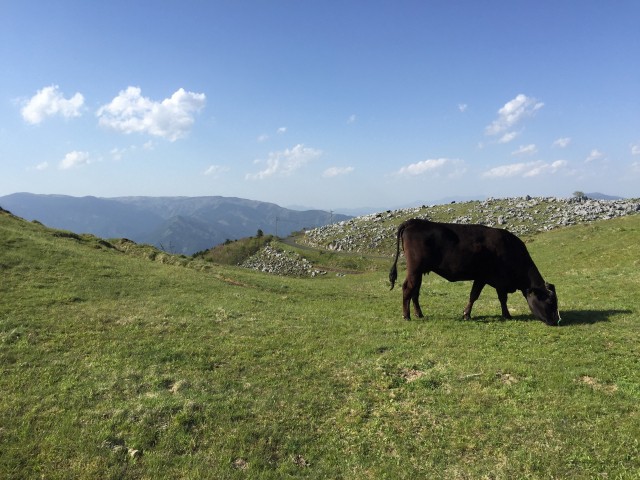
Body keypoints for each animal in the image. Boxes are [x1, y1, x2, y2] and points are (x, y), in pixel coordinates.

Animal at [384, 218, 560, 324]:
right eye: (550, 302)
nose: (556, 321)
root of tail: (414, 221)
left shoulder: (495, 281)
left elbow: (499, 298)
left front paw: (504, 314)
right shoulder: (487, 278)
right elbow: (477, 296)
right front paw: (468, 314)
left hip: (419, 271)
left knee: (415, 291)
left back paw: (419, 314)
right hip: (415, 269)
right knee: (408, 288)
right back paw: (406, 316)